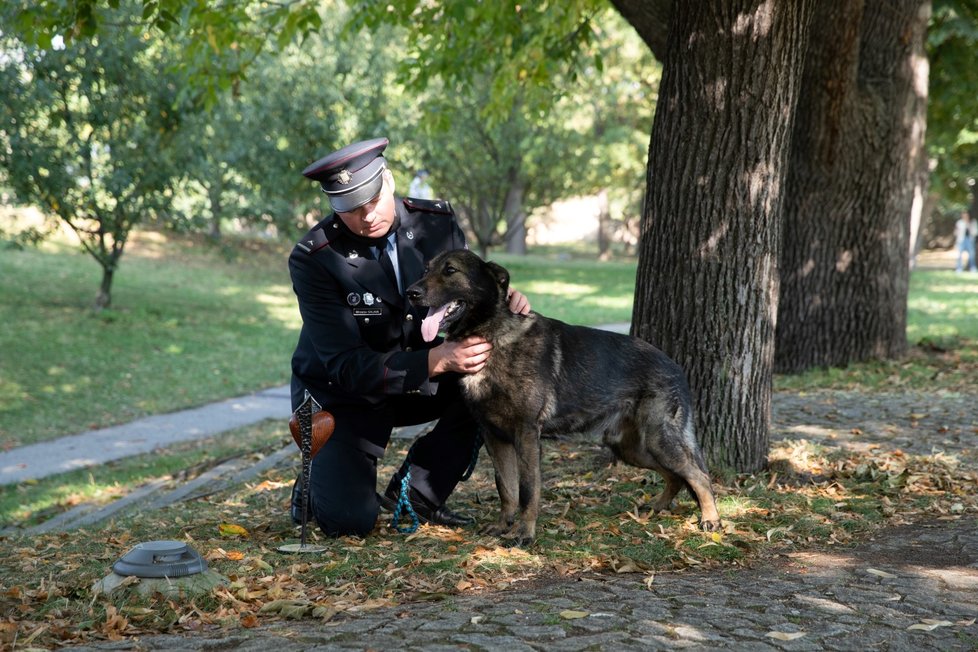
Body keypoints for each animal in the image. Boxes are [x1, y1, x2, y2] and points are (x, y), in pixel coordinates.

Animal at [404, 250, 716, 544]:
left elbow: (527, 490)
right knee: (677, 476)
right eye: (426, 269)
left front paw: (524, 533)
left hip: (657, 440)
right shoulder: (495, 438)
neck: (493, 334)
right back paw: (660, 506)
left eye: (450, 270)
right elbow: (505, 487)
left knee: (698, 475)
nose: (411, 293)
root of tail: (675, 367)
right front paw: (503, 525)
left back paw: (710, 520)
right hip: (631, 449)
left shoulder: (527, 435)